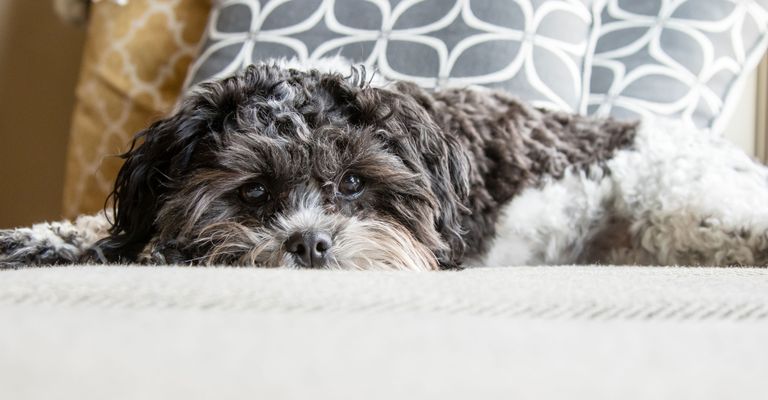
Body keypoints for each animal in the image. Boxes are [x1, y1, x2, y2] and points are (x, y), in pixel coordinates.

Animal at [1, 59, 768, 270]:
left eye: (352, 184)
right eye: (254, 193)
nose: (310, 243)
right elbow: (91, 231)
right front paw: (38, 239)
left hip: (680, 201)